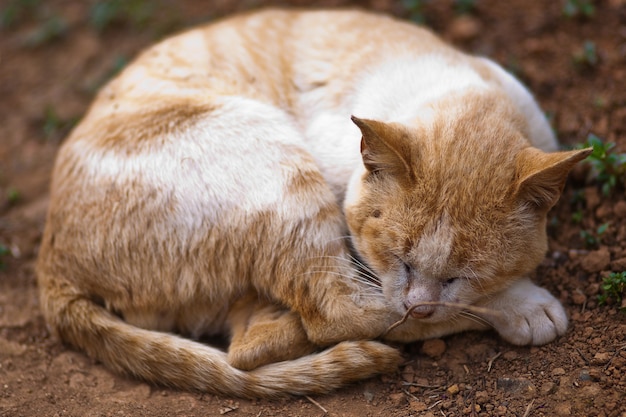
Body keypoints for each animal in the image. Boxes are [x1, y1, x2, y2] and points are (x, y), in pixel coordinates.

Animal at [36, 7, 588, 396]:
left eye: (462, 274)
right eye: (398, 258)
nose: (420, 305)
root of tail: (50, 261)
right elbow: (385, 307)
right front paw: (521, 304)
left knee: (248, 346)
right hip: (272, 159)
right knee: (332, 319)